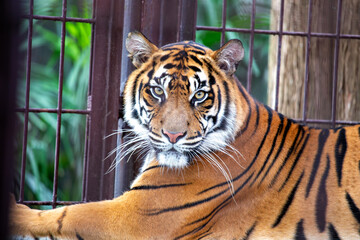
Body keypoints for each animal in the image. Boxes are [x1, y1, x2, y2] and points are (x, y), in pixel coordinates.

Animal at [7, 31, 360, 239]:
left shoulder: (140, 216)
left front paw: (15, 212)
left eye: (199, 95)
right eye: (157, 91)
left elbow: (68, 214)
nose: (173, 136)